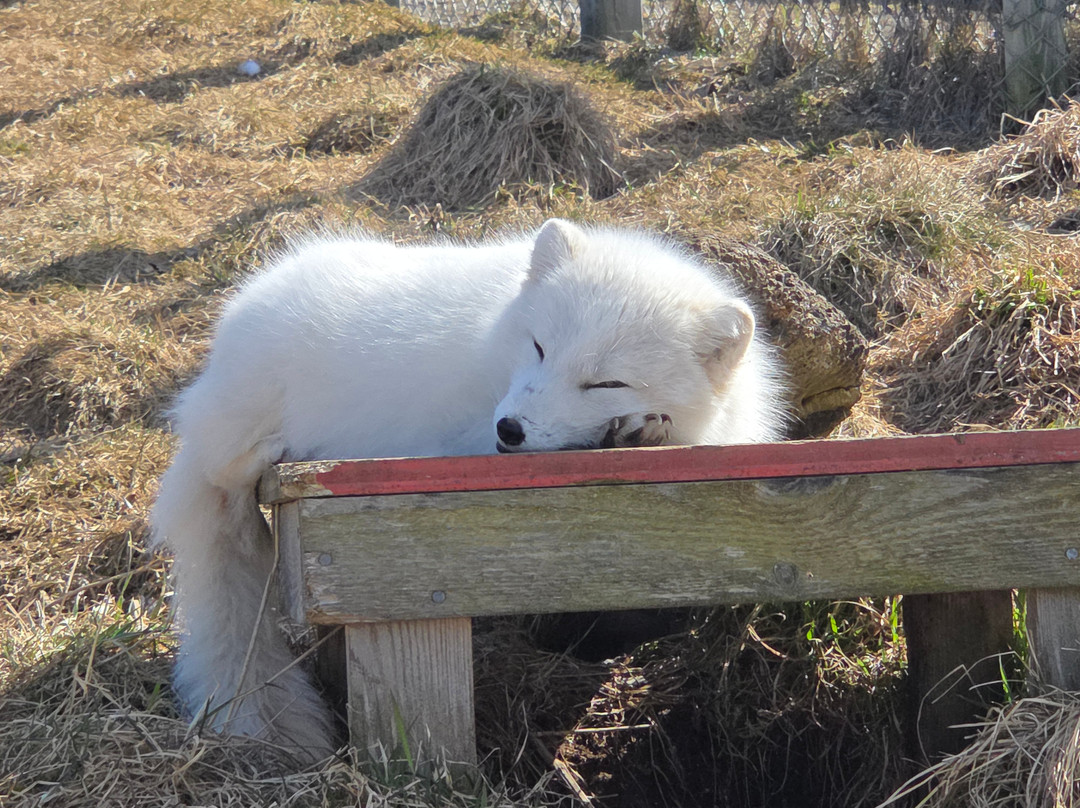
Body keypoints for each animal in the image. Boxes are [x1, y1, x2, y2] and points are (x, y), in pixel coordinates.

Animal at [150, 218, 787, 759]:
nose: (511, 428)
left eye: (606, 383)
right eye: (539, 347)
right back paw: (269, 452)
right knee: (224, 473)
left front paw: (638, 430)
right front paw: (623, 435)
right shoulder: (461, 433)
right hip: (240, 417)